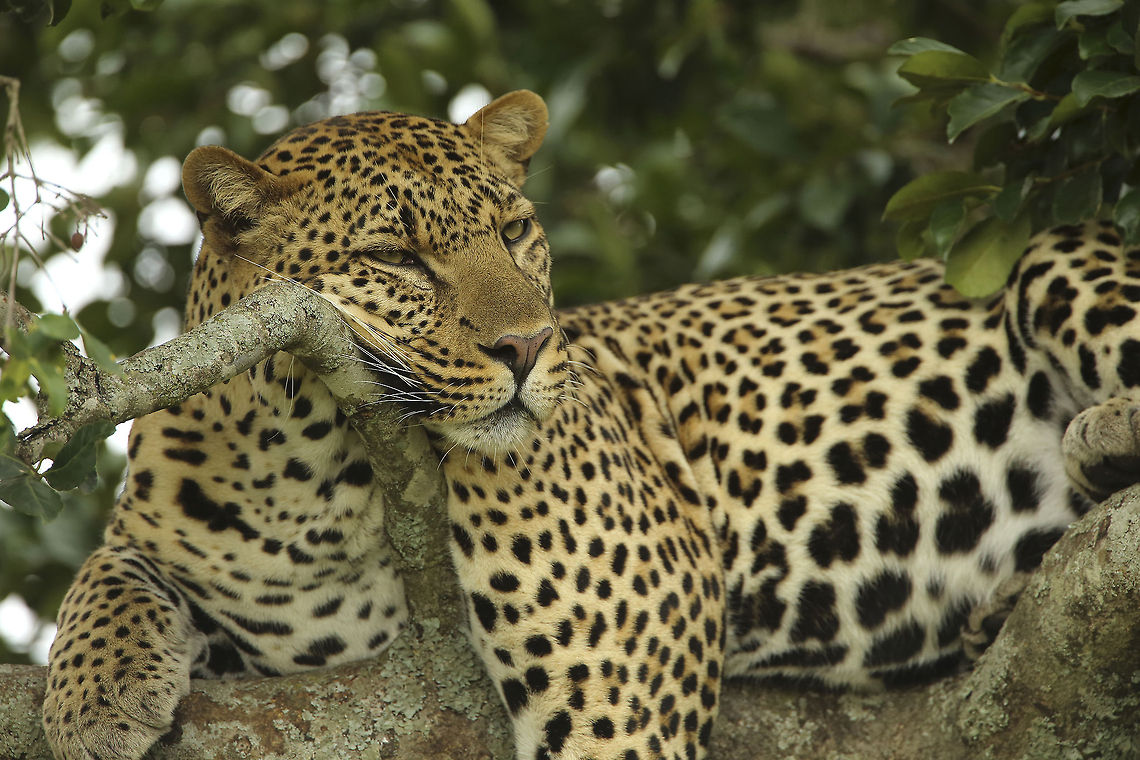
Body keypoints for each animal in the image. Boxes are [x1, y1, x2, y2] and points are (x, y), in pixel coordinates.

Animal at [40, 89, 1140, 760]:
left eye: (514, 230)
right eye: (395, 256)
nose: (530, 346)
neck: (303, 475)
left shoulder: (619, 691)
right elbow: (105, 573)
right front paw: (91, 698)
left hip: (1050, 254)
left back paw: (1102, 440)